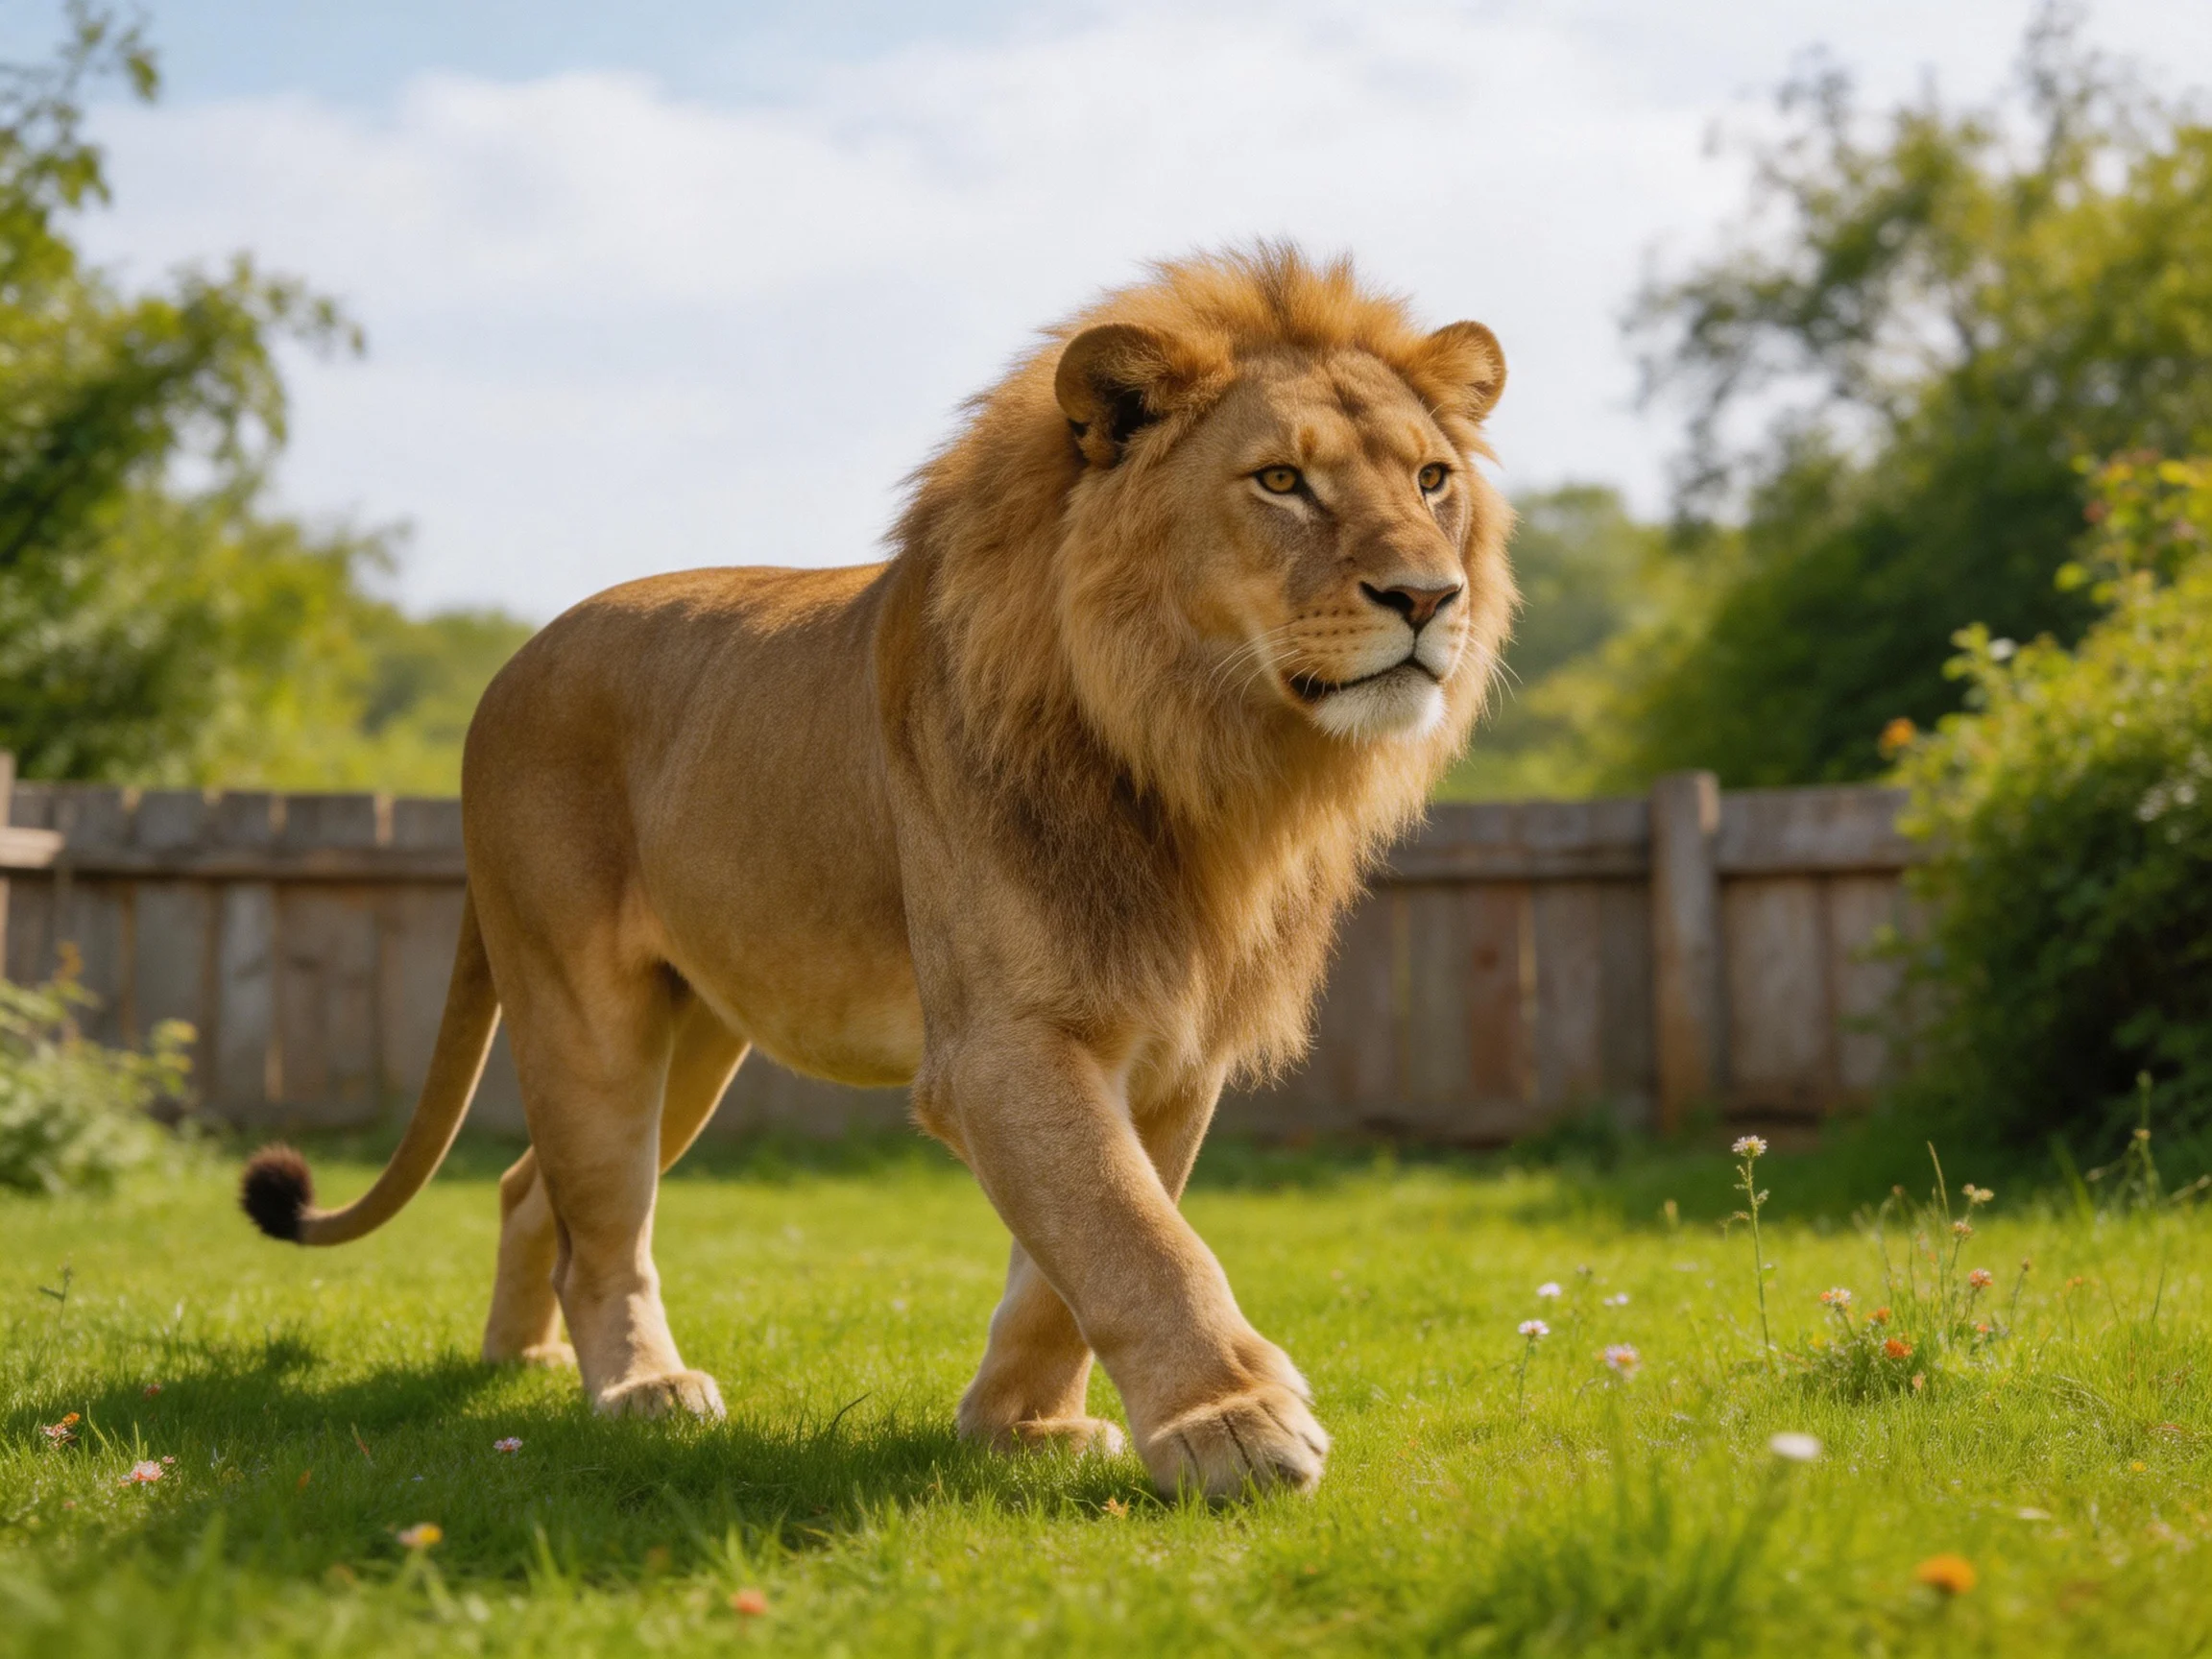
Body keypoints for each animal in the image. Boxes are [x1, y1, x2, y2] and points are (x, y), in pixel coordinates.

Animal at [240, 245, 1513, 1499]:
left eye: (1432, 481)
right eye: (1281, 481)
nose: (1427, 597)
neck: (1199, 757)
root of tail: (509, 667)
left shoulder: (1169, 1046)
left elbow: (1076, 1256)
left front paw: (1023, 1428)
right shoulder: (1003, 1040)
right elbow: (1132, 1232)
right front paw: (1231, 1424)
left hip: (694, 1034)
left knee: (526, 1193)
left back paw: (523, 1363)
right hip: (586, 1014)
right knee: (605, 1228)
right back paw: (640, 1387)